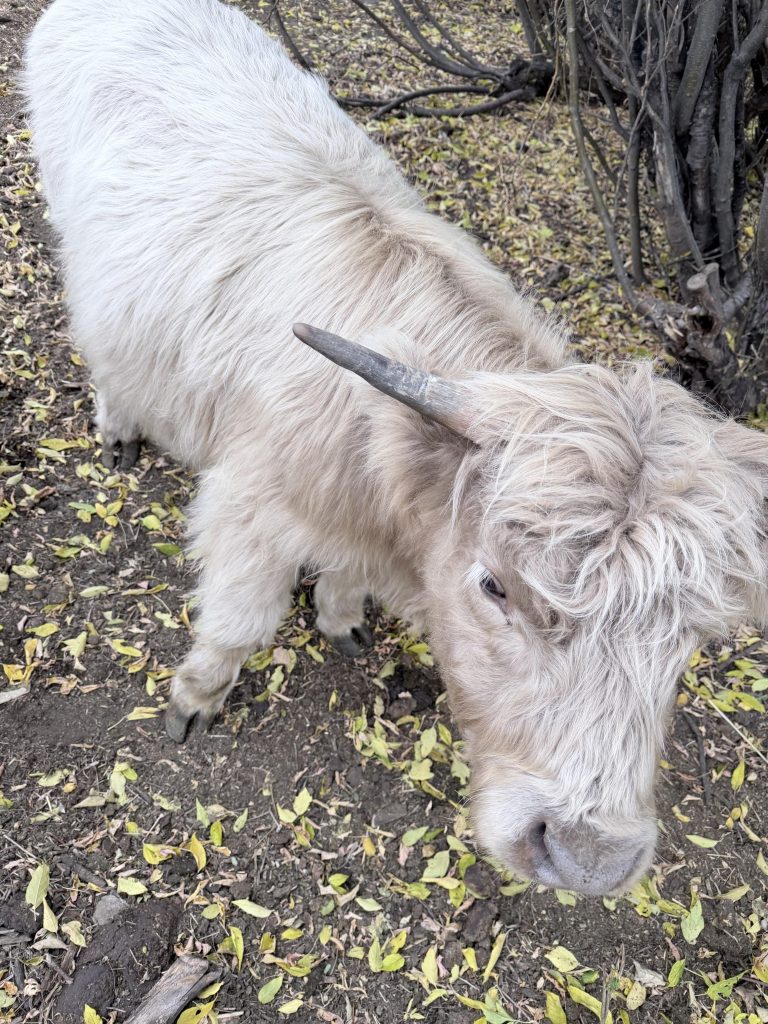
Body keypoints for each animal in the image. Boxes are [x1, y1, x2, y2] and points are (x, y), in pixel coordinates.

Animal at [23, 0, 768, 895]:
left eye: (693, 633)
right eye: (495, 587)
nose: (588, 857)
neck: (376, 463)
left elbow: (344, 581)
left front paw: (342, 621)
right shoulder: (250, 511)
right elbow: (239, 622)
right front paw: (196, 697)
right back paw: (118, 426)